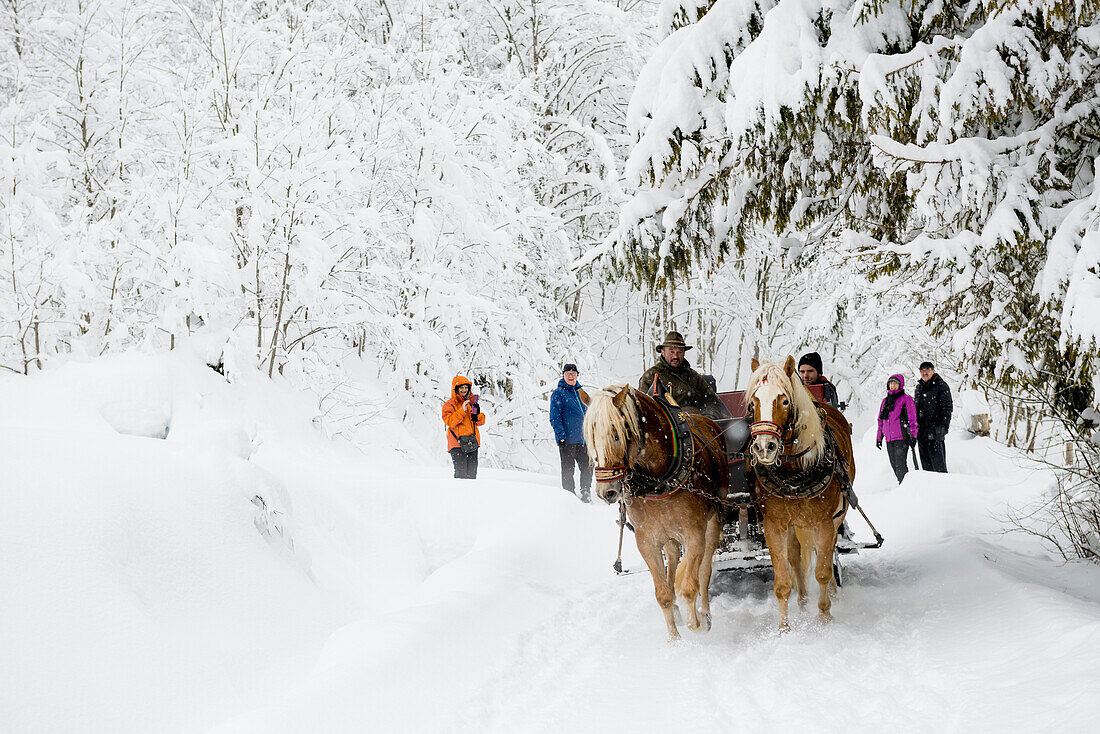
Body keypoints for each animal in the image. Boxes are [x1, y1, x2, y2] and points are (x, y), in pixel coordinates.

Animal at [585, 387, 730, 638]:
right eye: (591, 438)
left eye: (617, 435)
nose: (606, 492)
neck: (659, 479)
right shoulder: (646, 540)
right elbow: (662, 594)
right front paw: (674, 639)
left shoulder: (694, 534)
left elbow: (691, 585)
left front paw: (698, 622)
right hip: (668, 534)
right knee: (672, 558)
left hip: (713, 521)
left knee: (704, 570)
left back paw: (705, 612)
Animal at [743, 356, 853, 633]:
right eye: (752, 403)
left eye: (784, 401)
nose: (764, 447)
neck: (793, 475)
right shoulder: (774, 524)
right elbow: (783, 581)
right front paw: (784, 628)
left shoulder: (824, 522)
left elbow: (823, 571)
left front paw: (824, 617)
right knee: (795, 555)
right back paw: (802, 602)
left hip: (836, 516)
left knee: (828, 551)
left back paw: (832, 595)